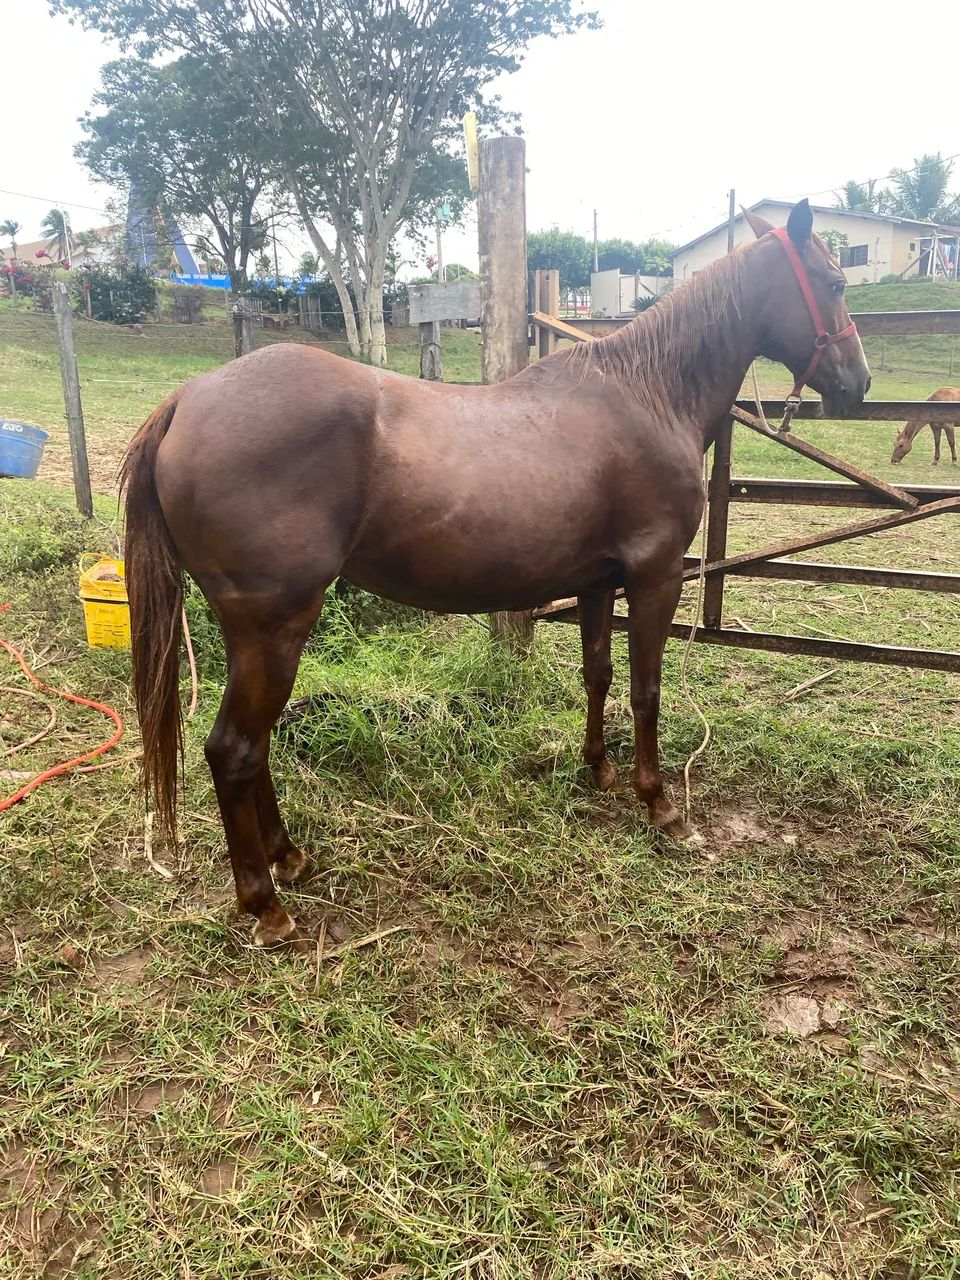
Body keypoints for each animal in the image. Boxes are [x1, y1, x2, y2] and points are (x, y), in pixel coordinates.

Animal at [121, 199, 870, 946]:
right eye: (834, 282)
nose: (858, 382)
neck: (648, 395)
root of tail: (187, 401)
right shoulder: (654, 579)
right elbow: (645, 692)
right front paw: (661, 806)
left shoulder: (597, 582)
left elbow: (598, 675)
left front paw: (598, 769)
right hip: (274, 628)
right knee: (235, 750)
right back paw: (265, 902)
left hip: (259, 636)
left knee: (255, 747)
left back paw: (289, 856)